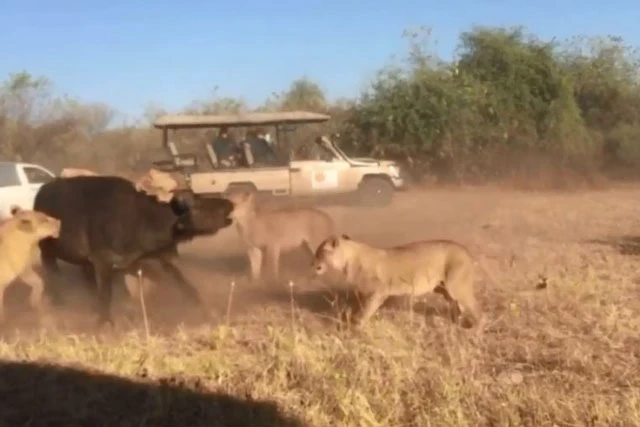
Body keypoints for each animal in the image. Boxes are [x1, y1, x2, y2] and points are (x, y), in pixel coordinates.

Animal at [33, 176, 234, 326]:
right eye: (199, 205)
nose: (229, 203)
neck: (141, 219)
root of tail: (40, 196)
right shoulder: (103, 261)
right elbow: (106, 295)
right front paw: (105, 322)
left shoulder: (161, 258)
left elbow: (186, 286)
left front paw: (205, 310)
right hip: (47, 252)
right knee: (53, 275)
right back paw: (59, 303)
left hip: (84, 263)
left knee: (88, 281)